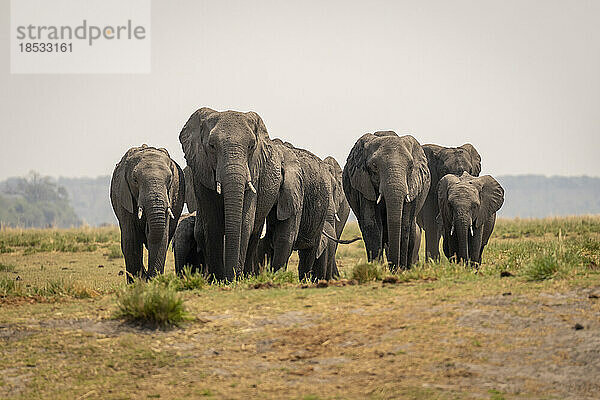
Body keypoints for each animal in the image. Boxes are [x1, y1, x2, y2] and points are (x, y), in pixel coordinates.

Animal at [109, 145, 185, 282]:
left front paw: (153, 281)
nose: (147, 227)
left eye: (170, 179)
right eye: (135, 180)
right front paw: (137, 282)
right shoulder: (124, 196)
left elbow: (162, 238)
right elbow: (131, 238)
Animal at [178, 108, 290, 280]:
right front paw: (218, 279)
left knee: (254, 234)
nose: (230, 278)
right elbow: (213, 223)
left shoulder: (254, 171)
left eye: (251, 146)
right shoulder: (201, 173)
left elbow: (245, 222)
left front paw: (235, 278)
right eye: (212, 146)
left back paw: (247, 275)